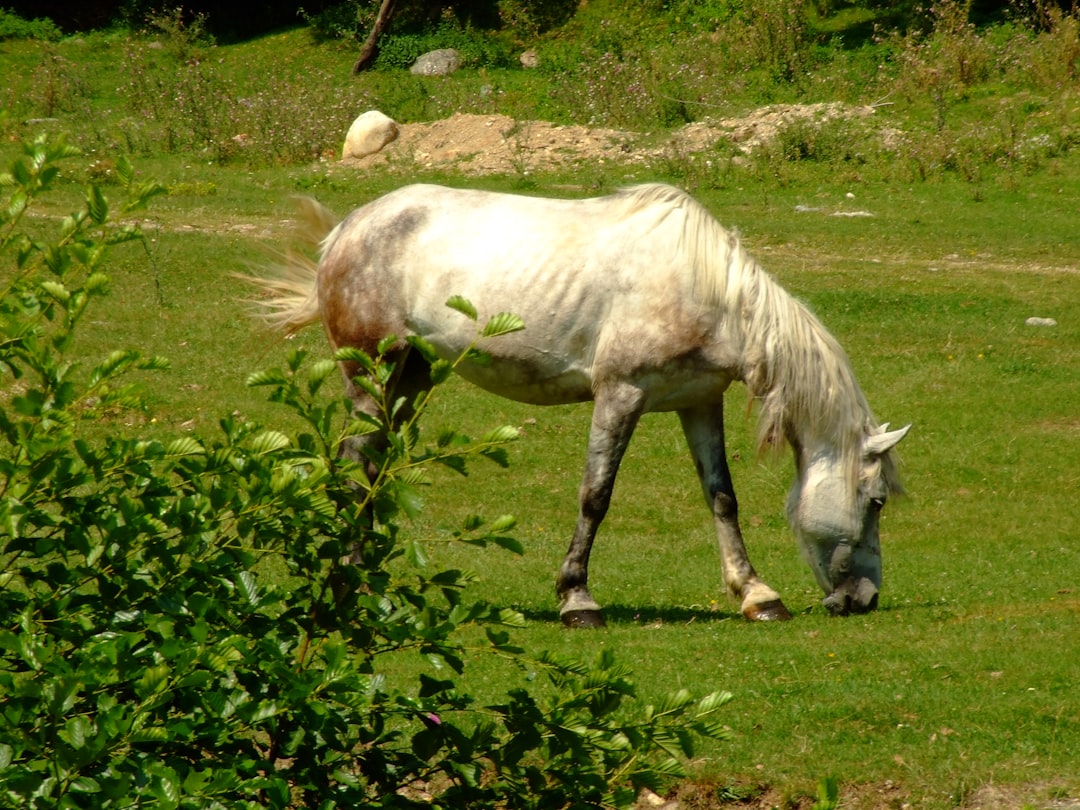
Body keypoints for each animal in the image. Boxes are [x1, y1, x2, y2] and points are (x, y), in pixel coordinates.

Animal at [250, 182, 909, 625]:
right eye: (875, 500)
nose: (865, 599)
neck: (710, 292)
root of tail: (347, 228)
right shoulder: (620, 395)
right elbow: (596, 496)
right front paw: (577, 599)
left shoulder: (698, 403)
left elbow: (722, 498)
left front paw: (756, 595)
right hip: (373, 376)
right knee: (357, 470)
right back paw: (352, 582)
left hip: (411, 379)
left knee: (376, 469)